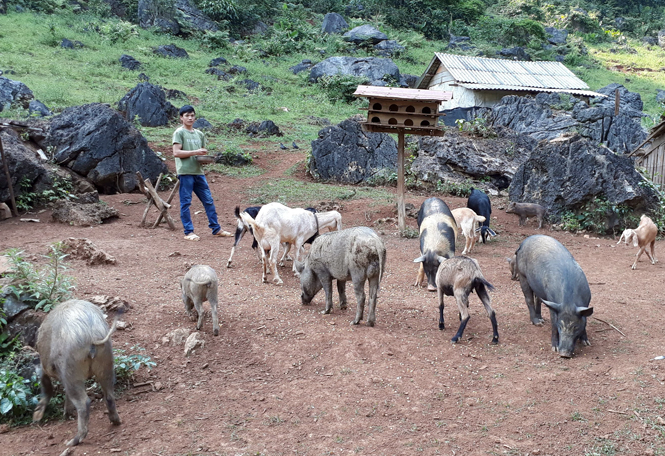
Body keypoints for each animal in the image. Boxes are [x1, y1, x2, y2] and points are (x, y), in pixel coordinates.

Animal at [32, 300, 120, 446]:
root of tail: (91, 333)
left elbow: (47, 386)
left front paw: (36, 417)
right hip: (106, 361)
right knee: (109, 395)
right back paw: (117, 422)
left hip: (71, 370)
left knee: (84, 402)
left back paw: (71, 442)